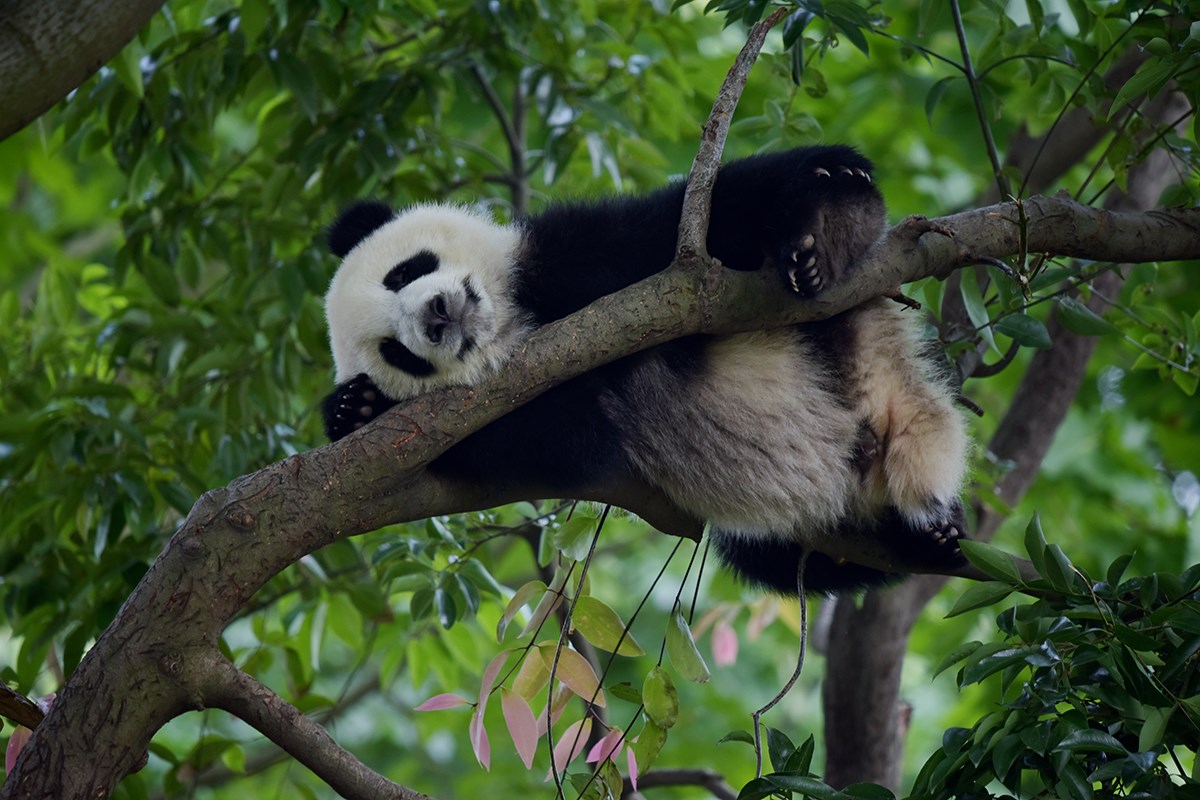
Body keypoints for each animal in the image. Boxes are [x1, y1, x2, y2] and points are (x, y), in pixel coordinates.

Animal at [321, 145, 970, 594]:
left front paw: (829, 188)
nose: (435, 316)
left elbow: (684, 223)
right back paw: (929, 538)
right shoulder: (500, 428)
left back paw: (835, 223)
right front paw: (355, 409)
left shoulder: (574, 255)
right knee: (789, 563)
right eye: (397, 353)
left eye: (404, 272)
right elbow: (567, 437)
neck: (520, 325)